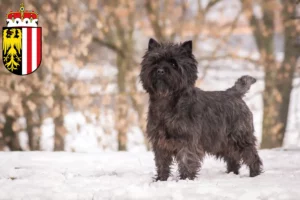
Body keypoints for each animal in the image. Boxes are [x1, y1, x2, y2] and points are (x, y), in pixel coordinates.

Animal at [140, 38, 262, 180]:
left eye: (173, 64)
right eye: (155, 61)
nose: (160, 70)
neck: (166, 101)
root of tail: (234, 93)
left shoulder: (187, 140)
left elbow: (186, 160)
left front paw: (186, 179)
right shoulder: (160, 141)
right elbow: (162, 162)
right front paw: (161, 179)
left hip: (240, 137)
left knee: (251, 155)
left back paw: (254, 174)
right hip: (222, 142)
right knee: (232, 157)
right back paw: (232, 173)